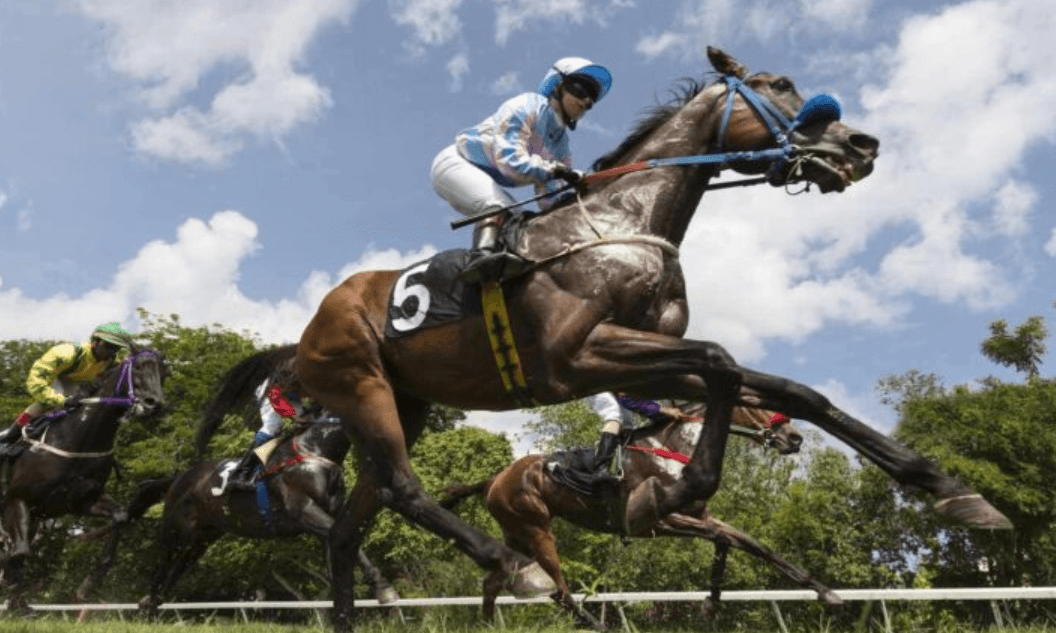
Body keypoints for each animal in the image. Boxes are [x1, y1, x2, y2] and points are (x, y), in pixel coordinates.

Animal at [0, 347, 167, 613]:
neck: (77, 438)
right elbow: (18, 553)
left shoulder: (79, 501)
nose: (155, 404)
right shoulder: (17, 501)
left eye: (164, 371)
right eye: (139, 367)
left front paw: (88, 584)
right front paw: (17, 600)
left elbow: (120, 517)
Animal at [133, 346, 397, 618]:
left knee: (177, 569)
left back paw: (153, 604)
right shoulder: (303, 508)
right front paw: (383, 588)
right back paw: (147, 606)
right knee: (162, 564)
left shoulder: (327, 515)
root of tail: (180, 478)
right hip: (177, 528)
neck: (314, 450)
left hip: (203, 536)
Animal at [440, 406, 833, 629]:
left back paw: (491, 627)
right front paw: (711, 602)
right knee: (561, 590)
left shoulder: (700, 516)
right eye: (754, 403)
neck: (675, 450)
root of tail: (494, 479)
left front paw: (823, 590)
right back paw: (593, 624)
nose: (794, 438)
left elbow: (751, 544)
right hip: (536, 529)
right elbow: (723, 539)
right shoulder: (657, 522)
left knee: (493, 584)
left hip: (516, 535)